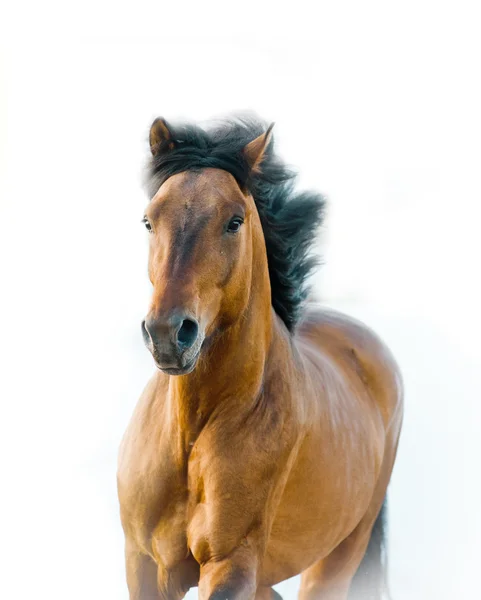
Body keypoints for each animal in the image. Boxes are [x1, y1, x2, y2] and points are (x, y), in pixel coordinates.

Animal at [118, 113, 404, 600]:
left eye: (234, 221)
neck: (193, 434)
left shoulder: (231, 566)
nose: (168, 335)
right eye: (148, 221)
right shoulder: (144, 565)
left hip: (337, 558)